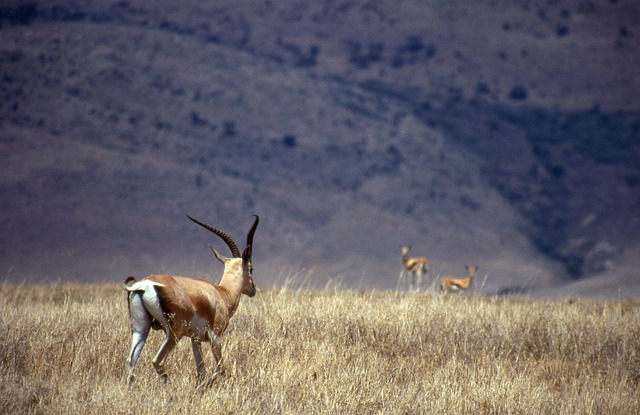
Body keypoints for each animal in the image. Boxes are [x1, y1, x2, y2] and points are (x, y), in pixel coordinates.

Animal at [124, 216, 258, 388]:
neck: (222, 293)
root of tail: (145, 284)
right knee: (157, 361)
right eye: (251, 268)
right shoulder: (215, 337)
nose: (253, 290)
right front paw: (201, 387)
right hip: (174, 333)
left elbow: (201, 371)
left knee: (131, 360)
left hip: (141, 328)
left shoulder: (196, 339)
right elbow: (220, 369)